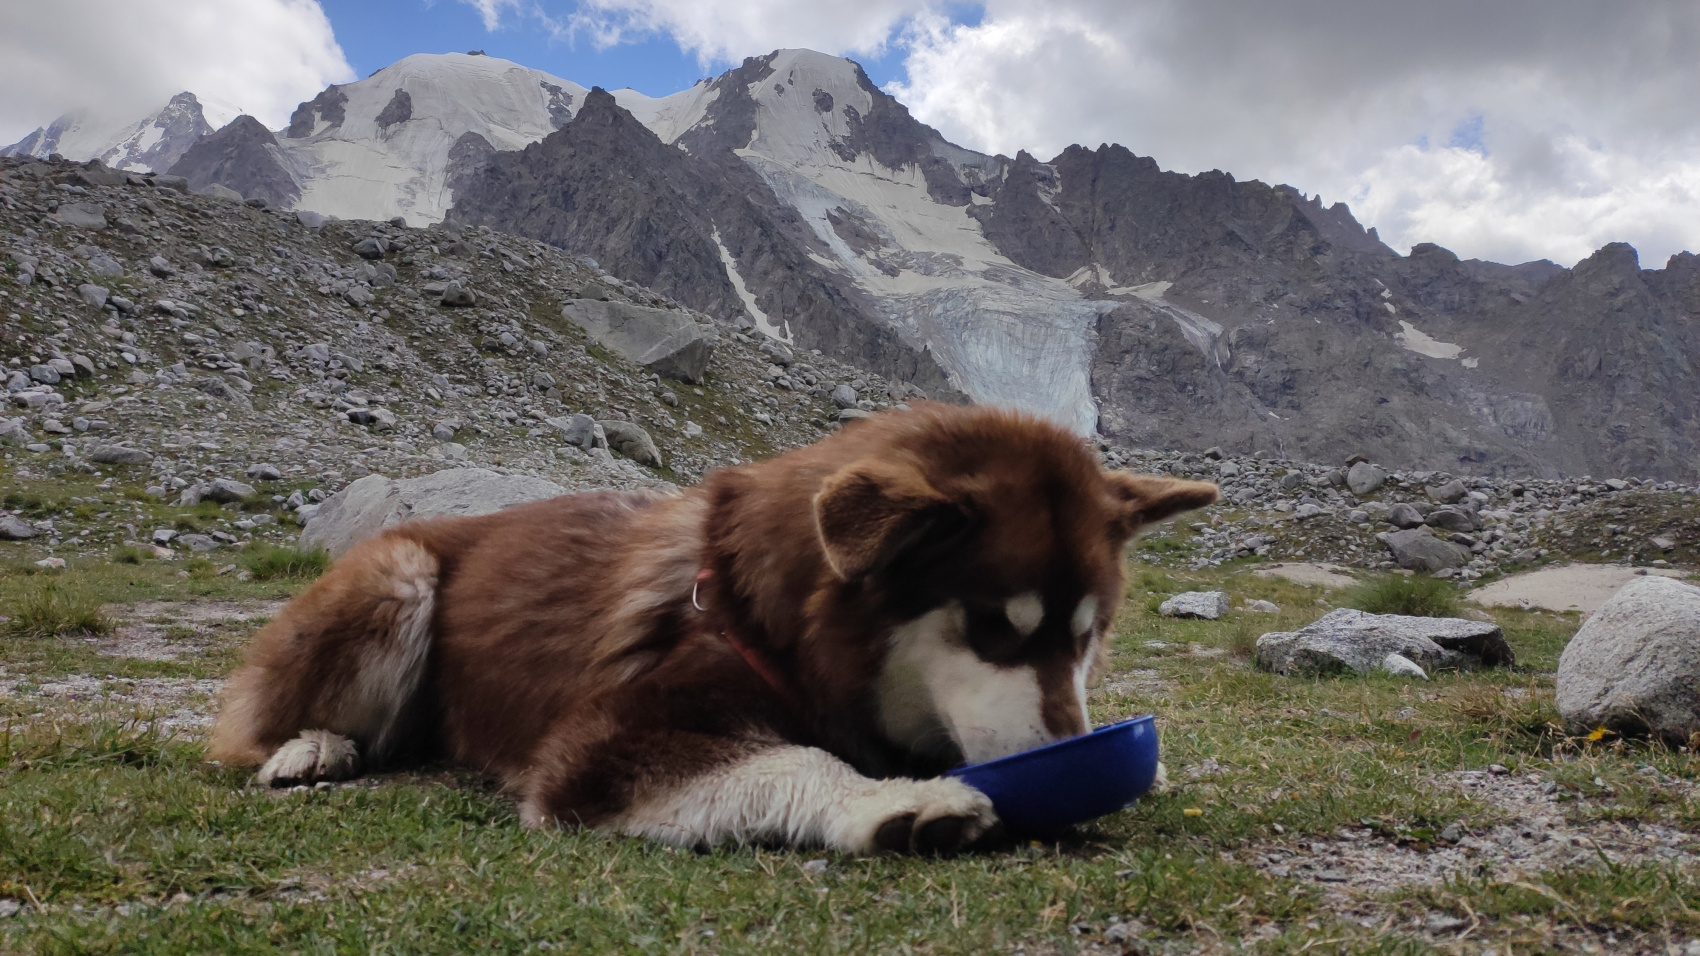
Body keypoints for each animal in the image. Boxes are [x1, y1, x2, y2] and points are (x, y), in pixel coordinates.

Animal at [209, 402, 1216, 853]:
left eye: (1088, 635)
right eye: (991, 628)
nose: (1070, 748)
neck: (762, 616)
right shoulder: (603, 749)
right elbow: (796, 760)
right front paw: (893, 802)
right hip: (399, 575)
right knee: (259, 726)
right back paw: (313, 747)